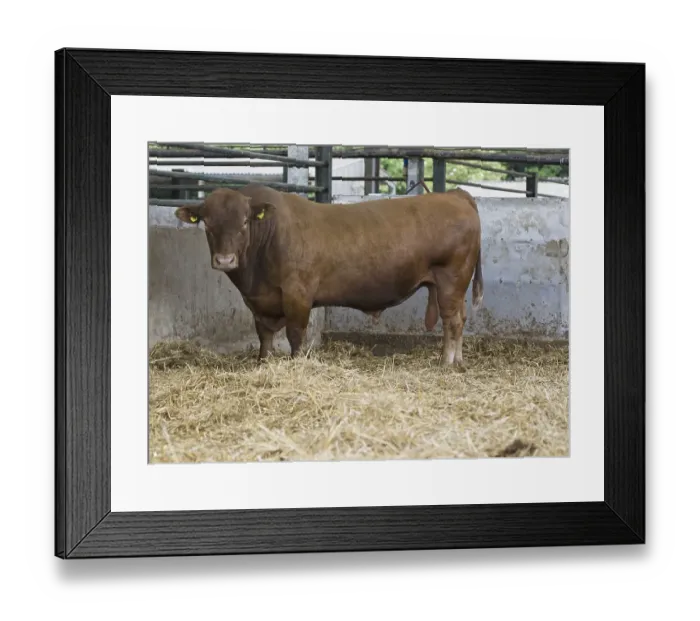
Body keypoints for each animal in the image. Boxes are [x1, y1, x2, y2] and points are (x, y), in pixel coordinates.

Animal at [174, 183, 483, 367]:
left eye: (244, 223)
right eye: (207, 224)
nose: (225, 260)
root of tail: (455, 194)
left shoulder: (297, 294)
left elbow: (295, 335)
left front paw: (296, 365)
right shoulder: (259, 302)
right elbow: (264, 336)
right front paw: (264, 363)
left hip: (451, 279)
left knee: (453, 322)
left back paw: (446, 362)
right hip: (452, 286)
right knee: (461, 318)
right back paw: (458, 361)